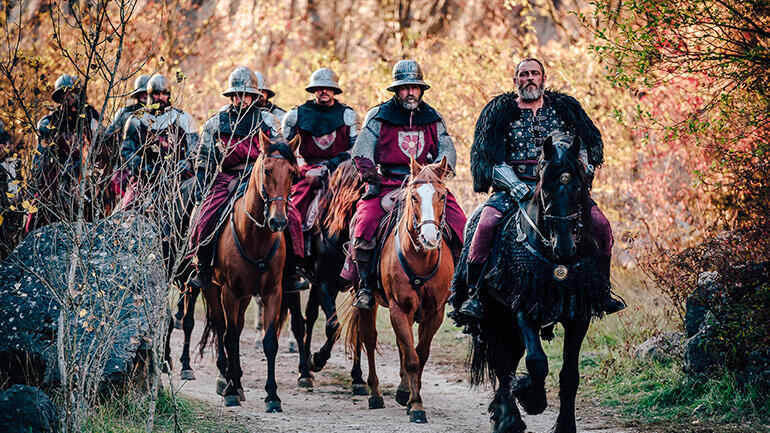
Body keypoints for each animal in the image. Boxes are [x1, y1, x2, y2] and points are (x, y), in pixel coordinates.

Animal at [198, 132, 304, 408]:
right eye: (267, 170)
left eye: (293, 173)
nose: (278, 221)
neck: (255, 236)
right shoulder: (229, 292)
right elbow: (230, 337)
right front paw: (230, 391)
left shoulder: (272, 292)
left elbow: (270, 342)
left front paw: (272, 395)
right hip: (214, 290)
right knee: (222, 328)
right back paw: (226, 380)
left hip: (245, 295)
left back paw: (237, 381)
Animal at [344, 155, 452, 422]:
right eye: (414, 197)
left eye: (442, 196)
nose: (429, 238)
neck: (421, 259)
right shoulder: (399, 309)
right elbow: (412, 358)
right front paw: (417, 406)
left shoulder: (434, 313)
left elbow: (419, 355)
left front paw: (411, 397)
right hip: (368, 301)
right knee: (370, 340)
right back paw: (375, 394)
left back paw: (403, 391)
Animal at [450, 132, 608, 432]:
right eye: (545, 190)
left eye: (579, 188)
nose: (565, 247)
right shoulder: (523, 308)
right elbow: (536, 363)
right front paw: (531, 397)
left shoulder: (577, 316)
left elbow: (570, 375)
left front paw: (565, 425)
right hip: (495, 315)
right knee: (502, 363)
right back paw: (509, 418)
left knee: (509, 359)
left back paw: (502, 411)